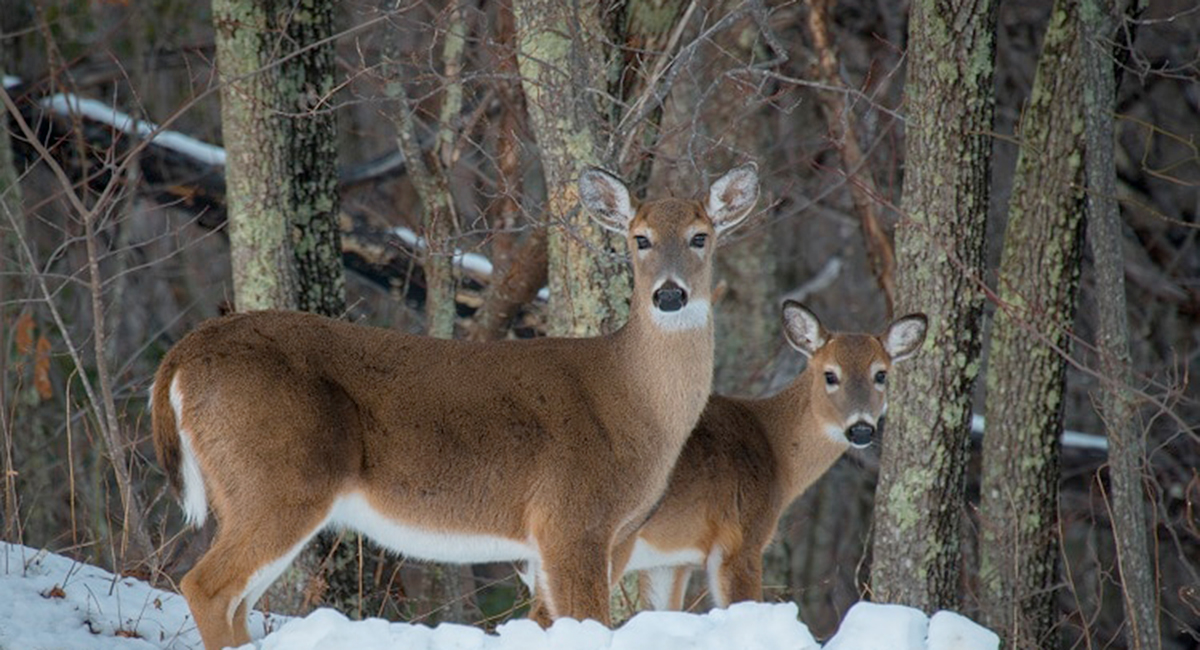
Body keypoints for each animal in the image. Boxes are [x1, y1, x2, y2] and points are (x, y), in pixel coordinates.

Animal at [150, 163, 759, 650]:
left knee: (236, 601)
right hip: (280, 478)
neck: (633, 403)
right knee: (205, 586)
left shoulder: (616, 535)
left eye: (700, 237)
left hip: (248, 489)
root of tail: (182, 355)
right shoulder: (570, 518)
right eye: (640, 239)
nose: (670, 294)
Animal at [527, 301, 926, 618]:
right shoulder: (740, 538)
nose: (861, 429)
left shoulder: (670, 561)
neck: (776, 451)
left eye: (881, 374)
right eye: (830, 374)